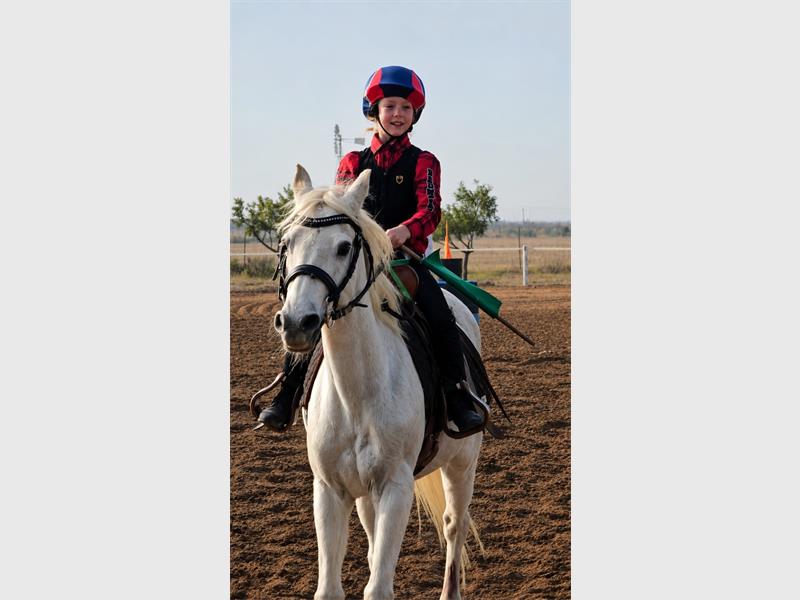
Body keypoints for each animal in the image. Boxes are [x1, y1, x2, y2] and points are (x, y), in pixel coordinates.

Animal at [273, 164, 486, 600]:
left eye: (343, 247)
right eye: (286, 243)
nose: (297, 323)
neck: (356, 394)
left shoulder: (396, 487)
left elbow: (378, 587)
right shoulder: (330, 490)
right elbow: (331, 587)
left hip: (462, 464)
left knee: (454, 526)